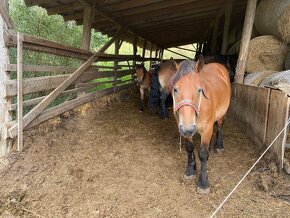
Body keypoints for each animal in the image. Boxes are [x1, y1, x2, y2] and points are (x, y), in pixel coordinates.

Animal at [171, 55, 230, 194]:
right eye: (175, 89)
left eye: (199, 90)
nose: (188, 129)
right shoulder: (184, 127)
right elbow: (189, 147)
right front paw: (191, 169)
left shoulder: (206, 128)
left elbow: (203, 154)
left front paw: (203, 182)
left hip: (222, 113)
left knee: (220, 126)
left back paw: (218, 146)